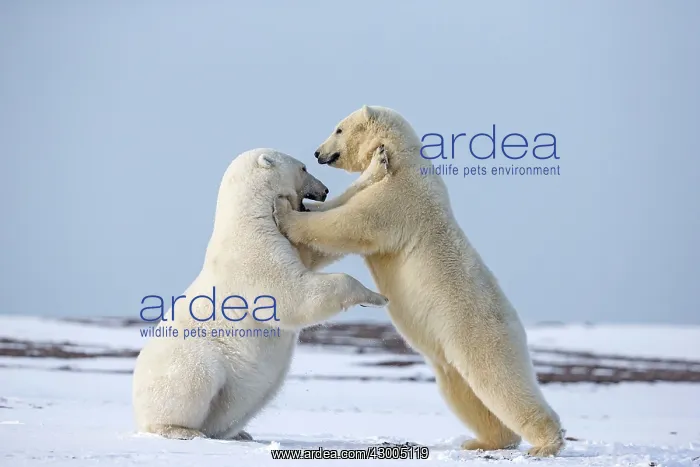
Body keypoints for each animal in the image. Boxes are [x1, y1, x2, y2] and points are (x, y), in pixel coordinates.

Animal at [132, 148, 388, 441]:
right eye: (303, 168)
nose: (323, 190)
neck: (249, 215)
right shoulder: (255, 254)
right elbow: (294, 295)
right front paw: (378, 298)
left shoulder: (286, 239)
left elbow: (319, 242)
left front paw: (378, 165)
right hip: (192, 359)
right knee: (194, 380)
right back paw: (182, 430)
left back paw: (240, 434)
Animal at [274, 107, 565, 457]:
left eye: (339, 129)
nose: (318, 153)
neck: (404, 158)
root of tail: (516, 324)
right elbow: (342, 206)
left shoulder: (400, 197)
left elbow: (348, 223)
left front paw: (285, 212)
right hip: (450, 355)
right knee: (463, 390)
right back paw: (484, 441)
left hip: (479, 334)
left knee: (500, 382)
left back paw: (545, 444)